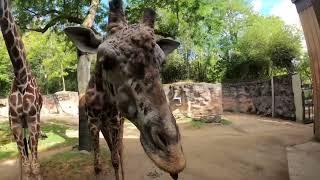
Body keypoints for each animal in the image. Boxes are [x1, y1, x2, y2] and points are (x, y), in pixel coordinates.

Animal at [64, 0, 185, 180]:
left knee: (119, 152)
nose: (173, 157)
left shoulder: (115, 121)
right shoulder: (93, 123)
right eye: (106, 61)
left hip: (117, 124)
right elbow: (97, 165)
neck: (102, 100)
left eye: (162, 63)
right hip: (105, 127)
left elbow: (115, 159)